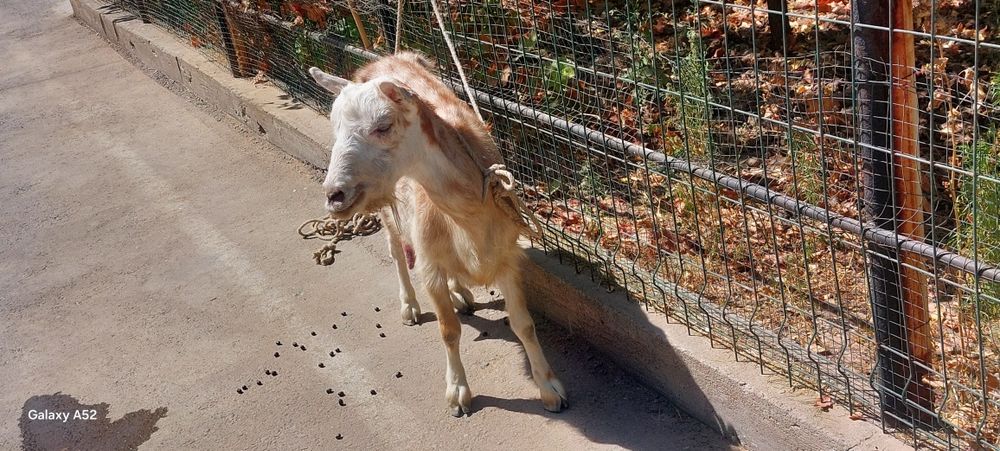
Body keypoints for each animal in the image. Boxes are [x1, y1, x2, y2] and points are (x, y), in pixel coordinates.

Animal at [309, 53, 567, 416]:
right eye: (335, 129)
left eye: (383, 126)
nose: (334, 195)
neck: (468, 216)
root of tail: (387, 58)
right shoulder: (429, 263)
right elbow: (448, 330)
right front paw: (458, 393)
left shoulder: (507, 257)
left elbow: (523, 324)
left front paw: (549, 388)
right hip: (389, 211)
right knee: (396, 250)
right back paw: (410, 306)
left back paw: (460, 292)